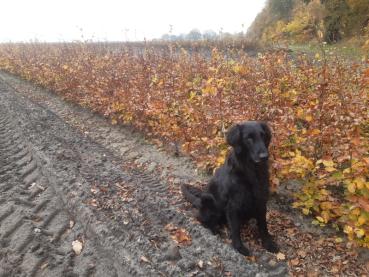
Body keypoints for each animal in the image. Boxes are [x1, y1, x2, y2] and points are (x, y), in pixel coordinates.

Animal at [180, 122, 278, 256]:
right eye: (249, 138)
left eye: (262, 136)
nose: (264, 156)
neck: (252, 171)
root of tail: (198, 202)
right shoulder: (233, 205)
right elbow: (235, 229)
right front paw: (239, 247)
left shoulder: (261, 201)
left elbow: (263, 226)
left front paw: (268, 244)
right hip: (208, 200)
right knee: (201, 218)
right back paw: (215, 230)